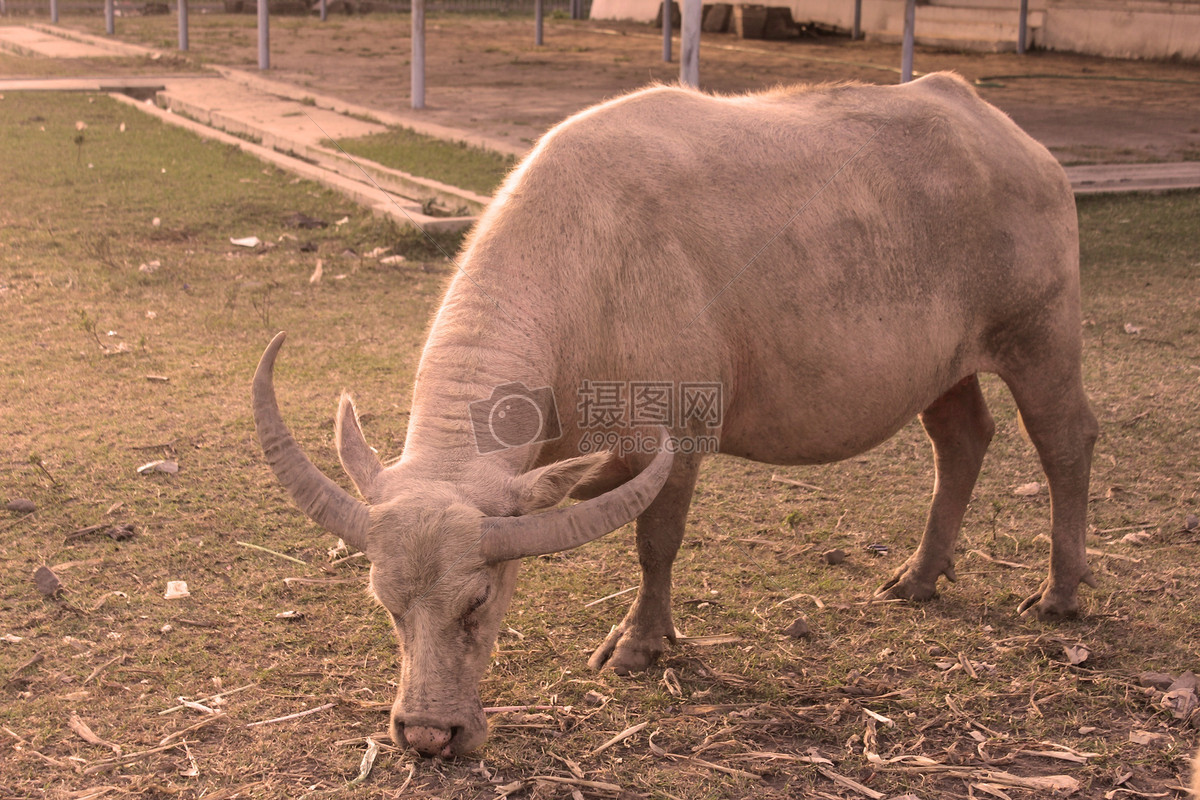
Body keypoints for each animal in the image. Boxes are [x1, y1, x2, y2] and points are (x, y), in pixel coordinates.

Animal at [253, 73, 1099, 758]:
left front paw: (638, 645)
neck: (590, 272)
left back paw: (1059, 592)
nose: (429, 734)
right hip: (942, 368)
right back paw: (919, 576)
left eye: (479, 600)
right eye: (386, 604)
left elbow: (655, 545)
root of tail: (1015, 140)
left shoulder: (681, 437)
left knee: (1065, 442)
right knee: (962, 441)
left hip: (1041, 334)